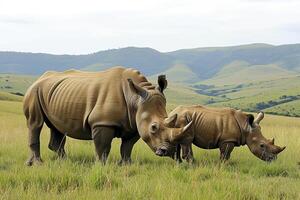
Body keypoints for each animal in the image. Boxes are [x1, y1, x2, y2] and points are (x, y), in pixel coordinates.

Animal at [24, 67, 192, 166]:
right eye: (154, 127)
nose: (169, 151)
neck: (135, 99)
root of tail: (39, 78)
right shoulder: (102, 122)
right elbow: (103, 146)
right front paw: (101, 166)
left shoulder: (134, 124)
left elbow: (127, 147)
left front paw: (126, 165)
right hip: (34, 91)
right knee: (35, 123)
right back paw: (37, 164)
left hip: (55, 93)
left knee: (57, 128)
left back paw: (65, 162)